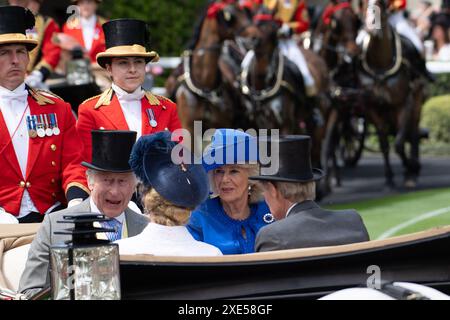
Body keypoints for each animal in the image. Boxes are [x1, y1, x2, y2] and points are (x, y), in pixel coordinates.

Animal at [356, 0, 426, 188]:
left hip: (417, 103)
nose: (371, 27)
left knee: (414, 133)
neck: (381, 65)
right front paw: (389, 178)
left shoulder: (405, 103)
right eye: (363, 4)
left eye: (381, 3)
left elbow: (399, 144)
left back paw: (414, 168)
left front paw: (410, 169)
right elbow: (384, 144)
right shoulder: (373, 109)